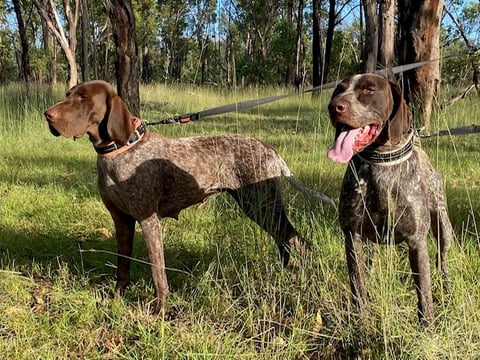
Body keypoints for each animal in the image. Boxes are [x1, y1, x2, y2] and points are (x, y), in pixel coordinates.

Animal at [44, 80, 334, 314]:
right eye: (68, 94)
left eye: (83, 98)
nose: (47, 115)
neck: (118, 151)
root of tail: (270, 149)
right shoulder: (122, 220)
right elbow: (122, 266)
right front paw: (116, 300)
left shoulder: (149, 221)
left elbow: (157, 272)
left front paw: (160, 310)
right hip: (260, 207)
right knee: (285, 241)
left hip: (262, 205)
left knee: (297, 241)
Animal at [326, 73, 454, 326]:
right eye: (339, 89)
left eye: (369, 90)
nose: (334, 107)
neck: (381, 161)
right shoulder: (352, 235)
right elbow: (358, 285)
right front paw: (361, 321)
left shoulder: (416, 241)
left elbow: (424, 292)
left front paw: (427, 328)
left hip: (444, 227)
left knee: (442, 261)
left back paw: (446, 288)